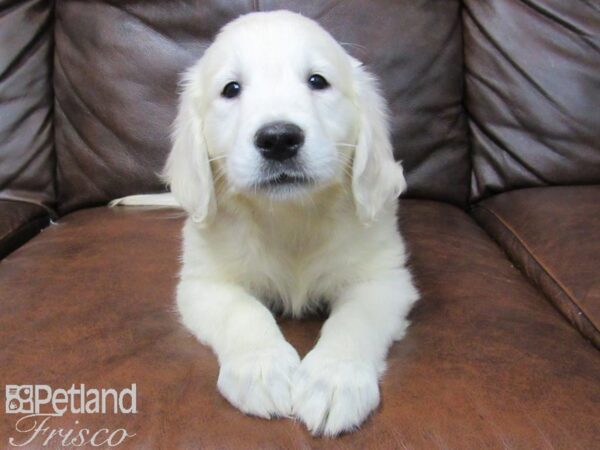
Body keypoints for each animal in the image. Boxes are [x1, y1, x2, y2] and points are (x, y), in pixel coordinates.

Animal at [116, 10, 418, 436]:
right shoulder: (204, 284)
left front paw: (334, 380)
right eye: (231, 89)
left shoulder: (384, 281)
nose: (278, 139)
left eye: (317, 81)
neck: (290, 216)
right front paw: (262, 369)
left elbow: (354, 321)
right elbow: (243, 311)